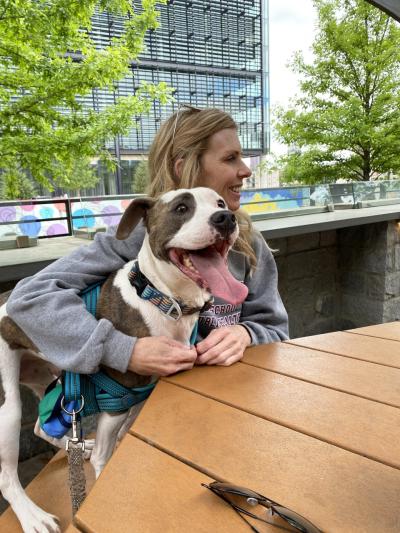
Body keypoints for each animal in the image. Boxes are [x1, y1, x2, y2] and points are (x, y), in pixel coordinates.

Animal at [0, 186, 248, 528]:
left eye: (220, 203)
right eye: (181, 208)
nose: (225, 218)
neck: (161, 299)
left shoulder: (142, 396)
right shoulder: (115, 402)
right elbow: (106, 457)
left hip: (47, 374)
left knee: (39, 426)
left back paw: (77, 447)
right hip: (7, 408)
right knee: (7, 477)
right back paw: (33, 517)